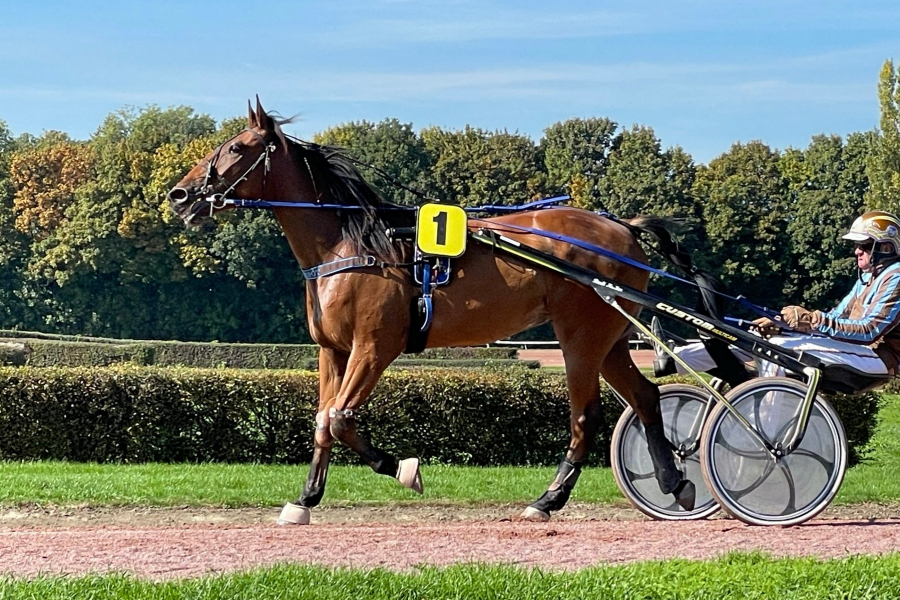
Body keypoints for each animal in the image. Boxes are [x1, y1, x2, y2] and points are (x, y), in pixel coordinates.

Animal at [168, 99, 697, 524]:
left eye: (238, 148)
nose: (179, 195)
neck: (351, 246)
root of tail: (622, 228)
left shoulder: (375, 346)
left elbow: (340, 419)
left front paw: (404, 469)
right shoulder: (332, 350)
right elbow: (322, 420)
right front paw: (305, 500)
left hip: (580, 336)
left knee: (585, 416)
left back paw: (548, 500)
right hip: (611, 336)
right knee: (645, 397)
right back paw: (674, 482)